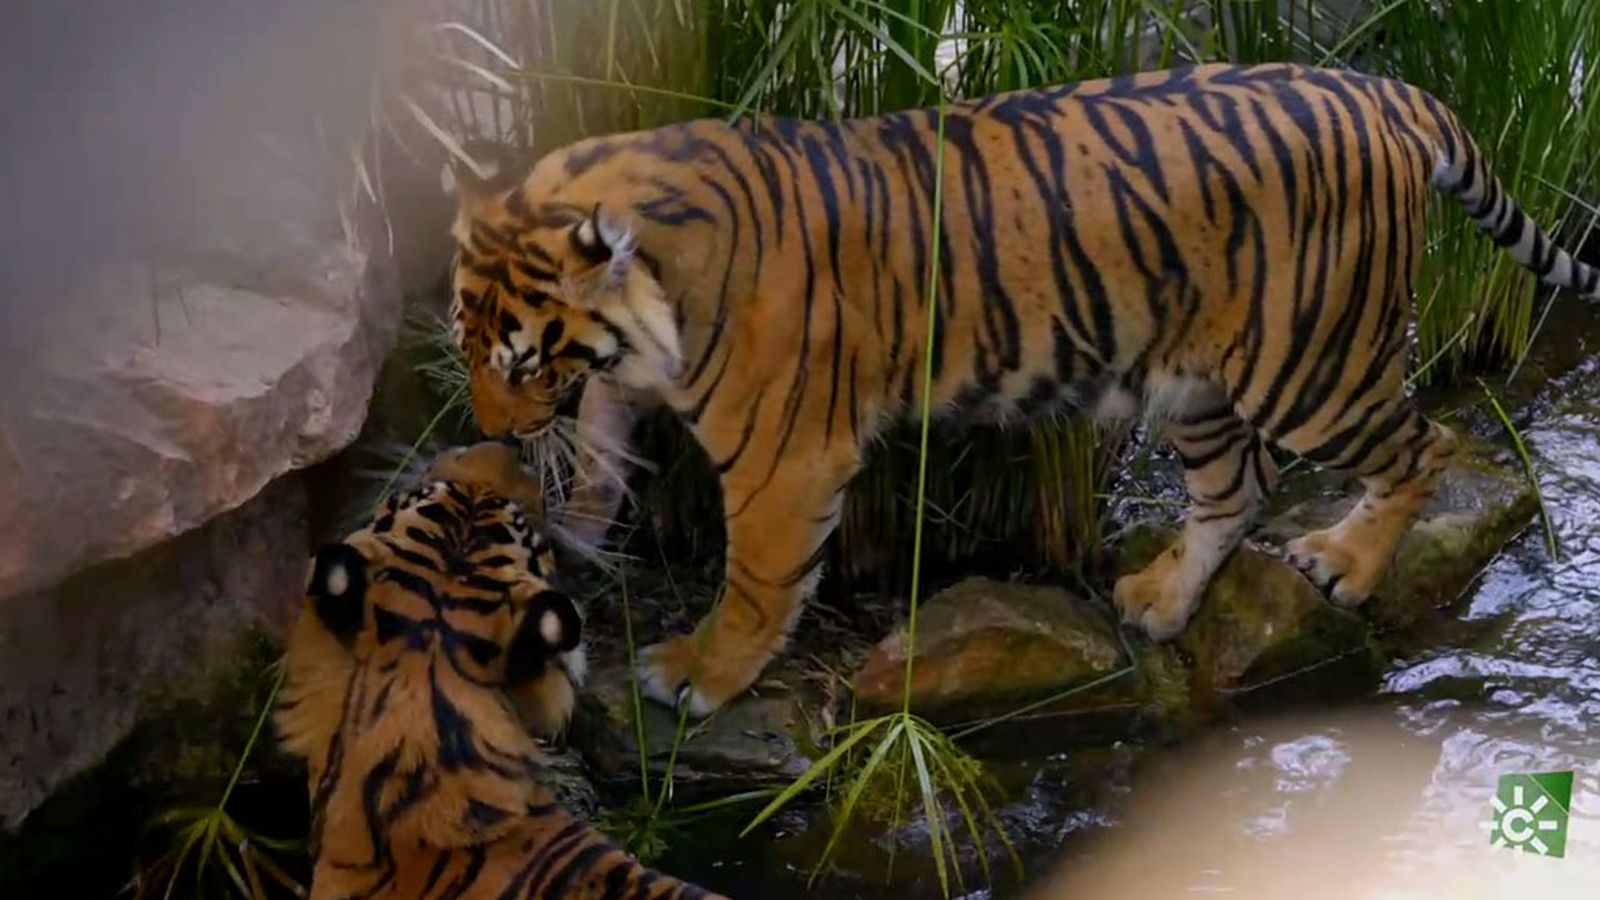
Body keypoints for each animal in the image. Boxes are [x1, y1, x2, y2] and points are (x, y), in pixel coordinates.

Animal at [442, 62, 1600, 718]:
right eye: (470, 348)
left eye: (519, 362)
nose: (492, 429)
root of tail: (1380, 87)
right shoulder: (625, 385)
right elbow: (600, 446)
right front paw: (572, 522)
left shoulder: (783, 456)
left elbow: (759, 580)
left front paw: (697, 676)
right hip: (1195, 381)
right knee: (1234, 489)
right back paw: (1158, 601)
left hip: (1309, 363)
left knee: (1420, 448)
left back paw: (1347, 564)